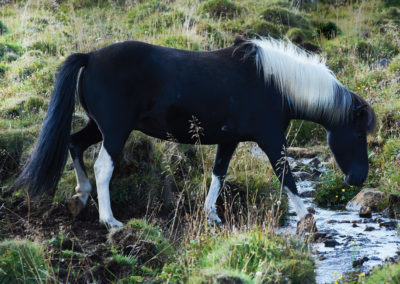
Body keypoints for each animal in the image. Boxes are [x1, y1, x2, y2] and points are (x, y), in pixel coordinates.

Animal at [12, 37, 376, 229]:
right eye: (359, 135)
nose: (357, 179)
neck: (273, 83)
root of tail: (90, 57)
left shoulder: (229, 140)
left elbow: (219, 174)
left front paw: (212, 215)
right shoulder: (272, 140)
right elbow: (286, 175)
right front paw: (305, 217)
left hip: (98, 127)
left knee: (74, 143)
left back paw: (82, 195)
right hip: (115, 130)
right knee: (103, 167)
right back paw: (110, 220)